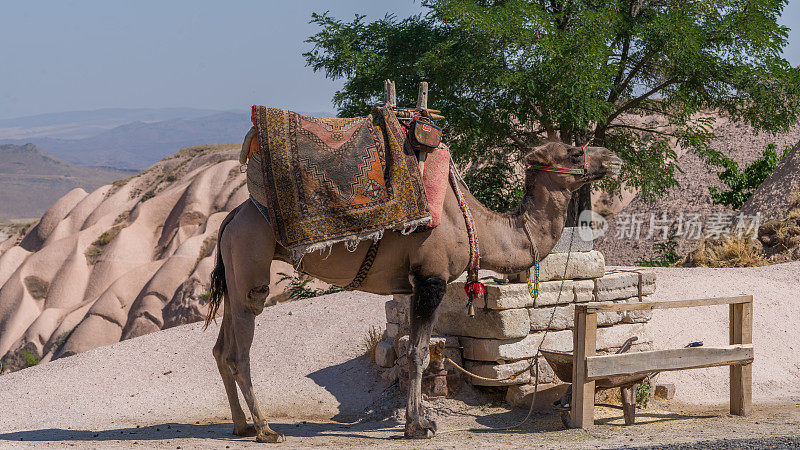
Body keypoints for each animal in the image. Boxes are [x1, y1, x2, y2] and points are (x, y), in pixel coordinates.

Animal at [203, 139, 620, 442]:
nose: (613, 158)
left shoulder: (416, 283)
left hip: (236, 271)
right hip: (251, 258)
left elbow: (416, 350)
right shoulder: (430, 279)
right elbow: (418, 352)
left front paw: (418, 421)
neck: (473, 223)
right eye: (575, 151)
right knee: (240, 351)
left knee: (221, 348)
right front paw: (418, 426)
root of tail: (232, 217)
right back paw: (265, 429)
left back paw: (241, 426)